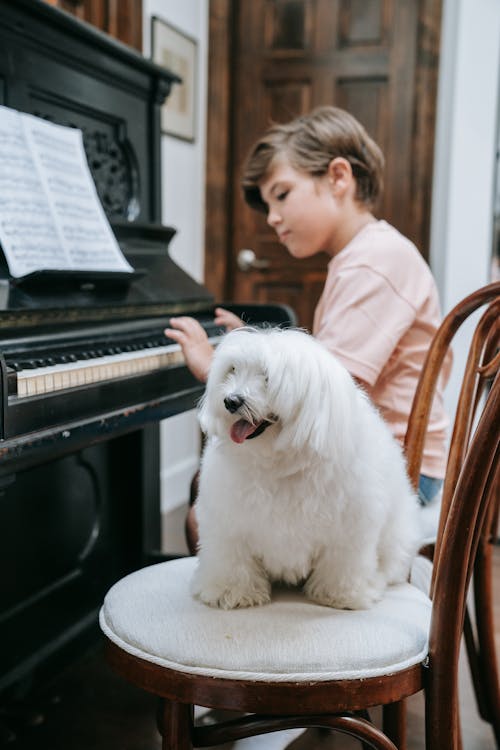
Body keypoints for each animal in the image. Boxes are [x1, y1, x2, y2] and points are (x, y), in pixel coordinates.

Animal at [191, 328, 422, 612]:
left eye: (267, 377)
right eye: (233, 370)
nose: (231, 401)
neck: (279, 462)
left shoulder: (349, 529)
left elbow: (342, 562)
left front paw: (340, 594)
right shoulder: (228, 525)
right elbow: (232, 558)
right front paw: (231, 591)